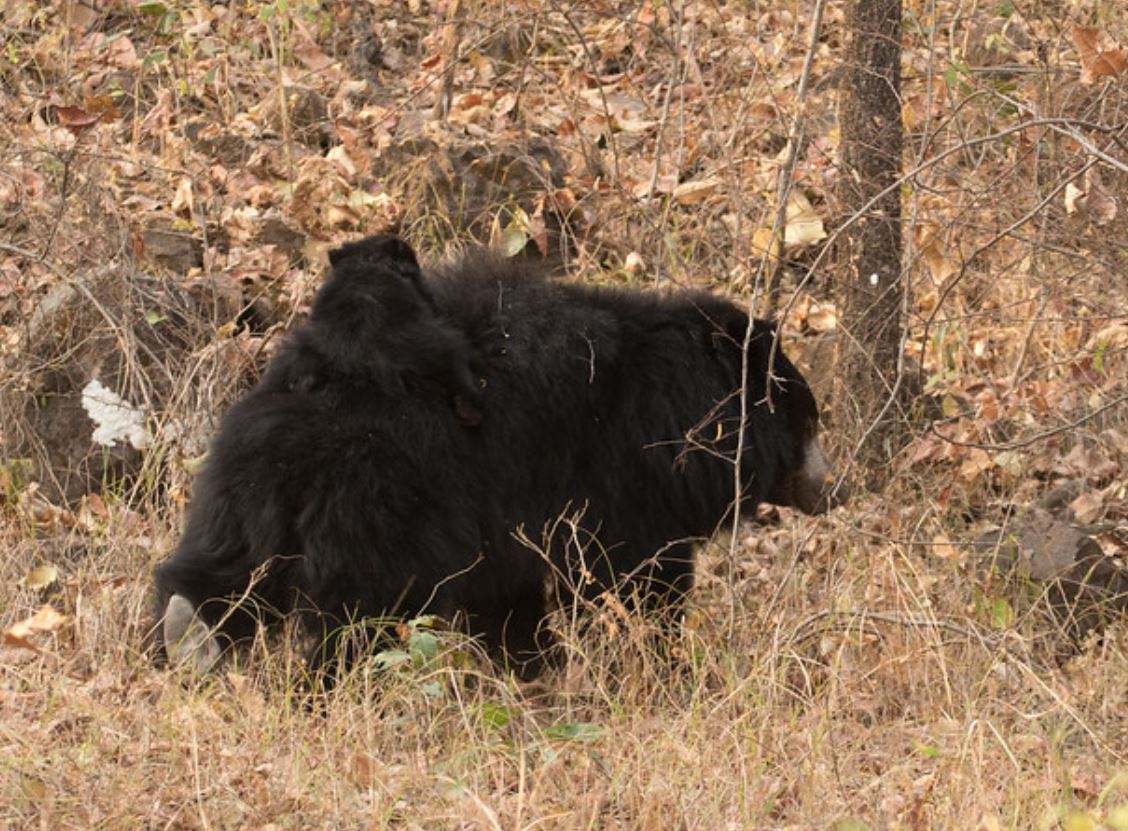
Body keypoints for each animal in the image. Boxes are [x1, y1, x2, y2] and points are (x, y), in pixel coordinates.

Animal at [153, 235, 845, 679]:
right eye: (808, 424)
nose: (834, 488)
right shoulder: (610, 482)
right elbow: (634, 581)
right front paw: (653, 658)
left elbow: (510, 599)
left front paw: (534, 667)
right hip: (376, 514)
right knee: (350, 619)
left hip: (239, 494)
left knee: (217, 571)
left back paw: (182, 637)